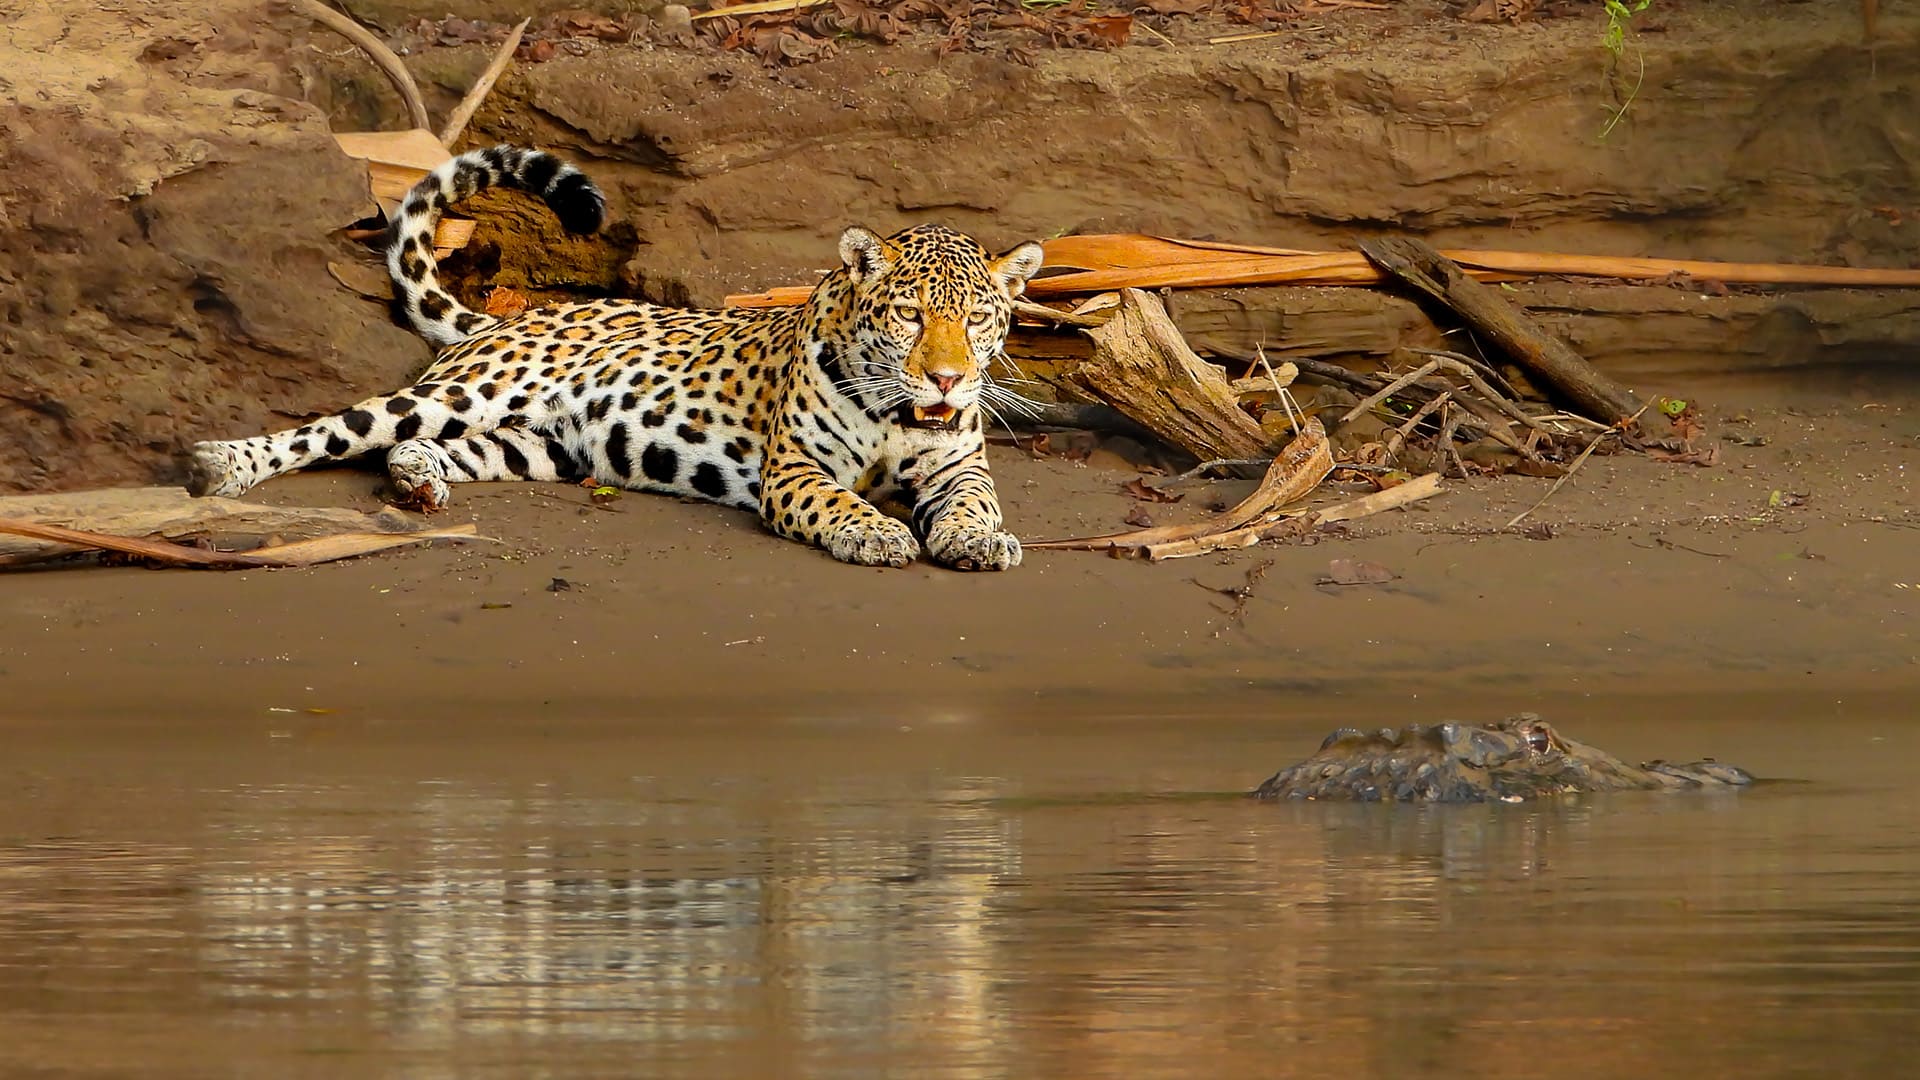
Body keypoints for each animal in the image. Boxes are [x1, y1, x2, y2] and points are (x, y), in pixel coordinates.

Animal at [184, 145, 1045, 570]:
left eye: (976, 321)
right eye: (909, 316)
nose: (947, 377)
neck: (901, 416)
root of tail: (516, 316)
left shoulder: (957, 466)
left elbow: (974, 502)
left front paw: (978, 541)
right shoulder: (796, 467)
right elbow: (839, 501)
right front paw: (876, 533)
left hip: (541, 445)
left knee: (427, 448)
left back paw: (419, 485)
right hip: (464, 392)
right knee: (340, 428)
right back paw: (222, 465)